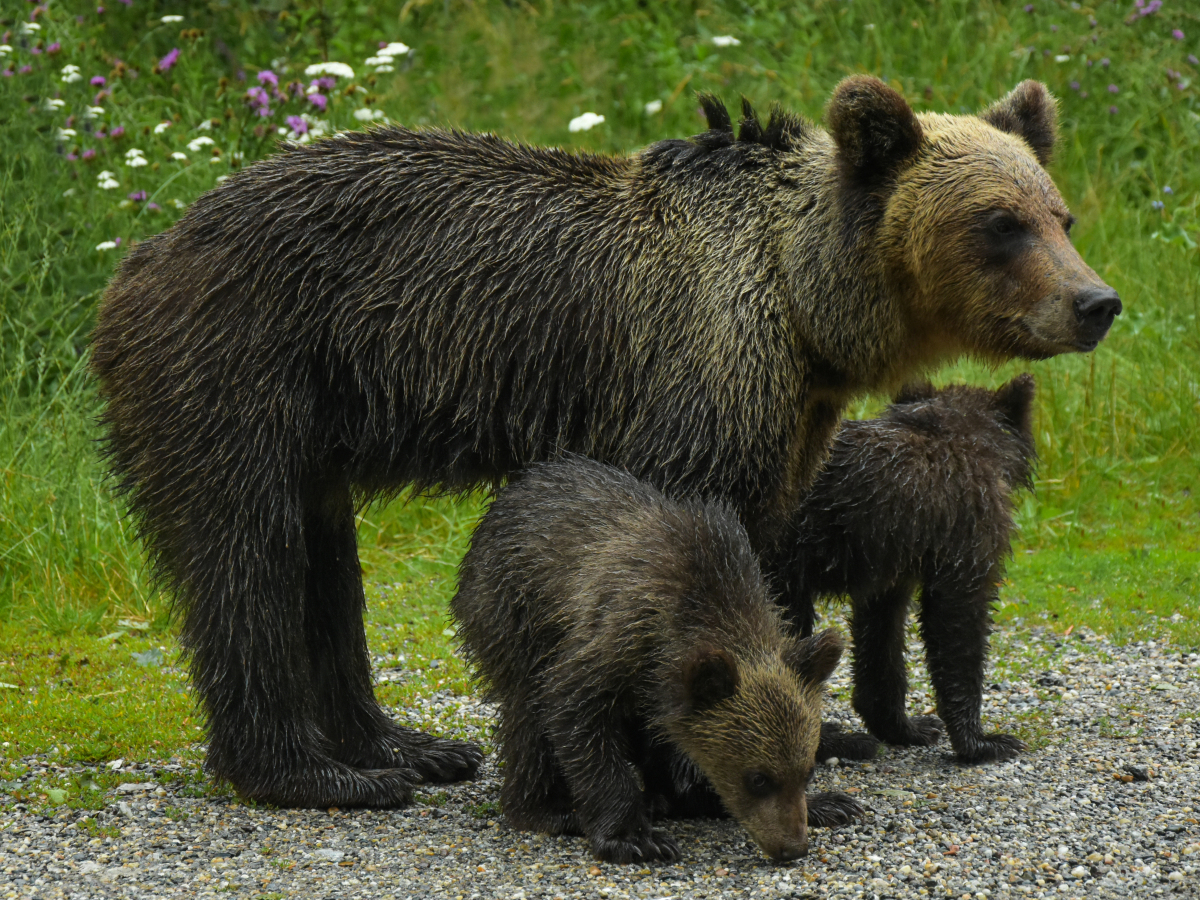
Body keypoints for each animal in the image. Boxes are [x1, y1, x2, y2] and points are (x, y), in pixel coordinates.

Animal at [91, 79, 1113, 811]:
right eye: (999, 222)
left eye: (1059, 214)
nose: (1094, 302)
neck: (803, 308)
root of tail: (142, 254)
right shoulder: (691, 387)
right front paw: (702, 776)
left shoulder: (788, 425)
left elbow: (765, 554)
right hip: (242, 368)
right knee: (249, 553)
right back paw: (319, 776)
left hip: (312, 423)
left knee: (324, 568)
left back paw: (412, 746)